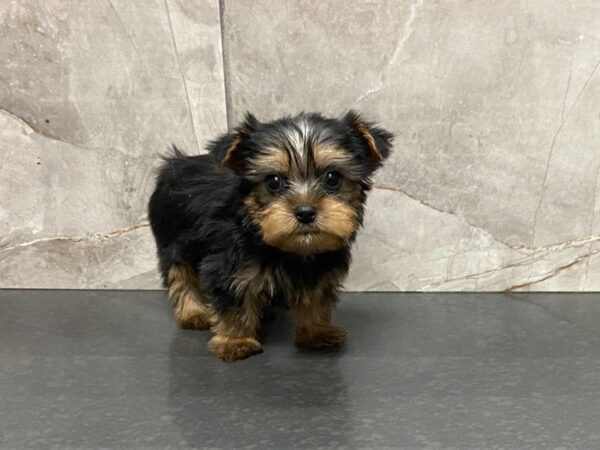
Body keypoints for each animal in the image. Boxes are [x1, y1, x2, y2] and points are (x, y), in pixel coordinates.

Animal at [149, 111, 394, 362]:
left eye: (333, 178)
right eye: (274, 181)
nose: (305, 212)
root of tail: (177, 163)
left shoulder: (319, 268)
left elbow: (316, 299)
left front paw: (316, 331)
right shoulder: (227, 265)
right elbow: (233, 300)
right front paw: (235, 341)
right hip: (171, 239)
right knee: (180, 274)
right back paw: (193, 312)